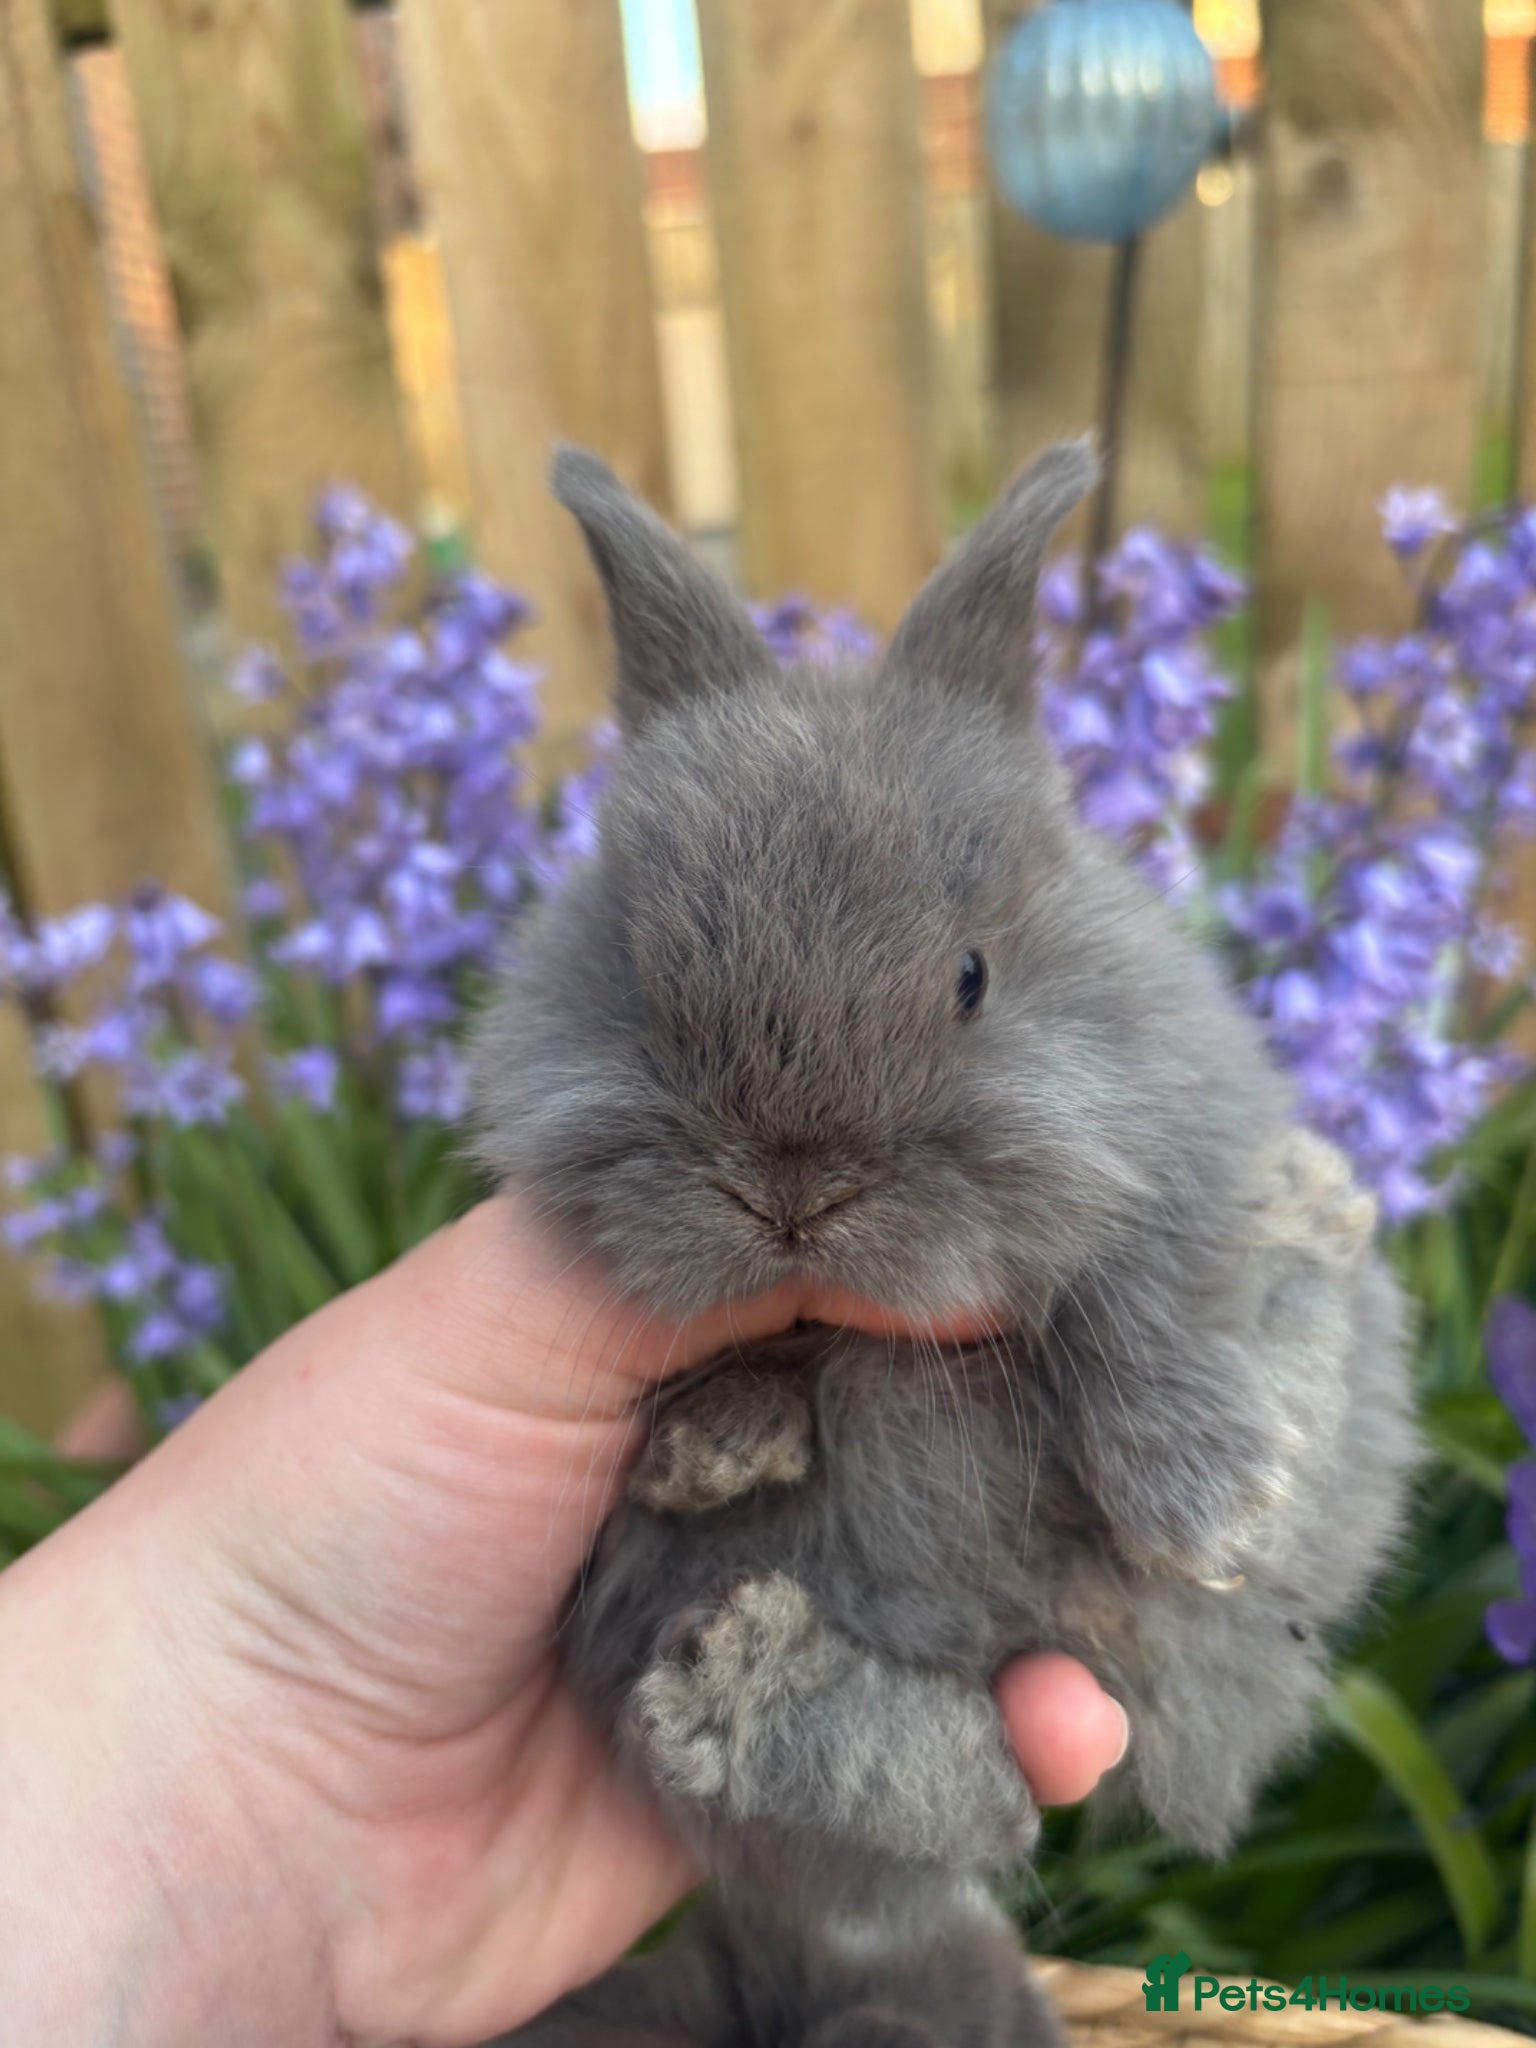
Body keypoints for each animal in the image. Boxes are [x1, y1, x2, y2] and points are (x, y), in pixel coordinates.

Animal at [467, 442, 1418, 2048]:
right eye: (647, 986)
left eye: (972, 977)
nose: (793, 1193)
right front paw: (713, 1439)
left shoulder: (1168, 1151)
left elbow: (1141, 1293)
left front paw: (1208, 1505)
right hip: (668, 1649)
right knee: (957, 1798)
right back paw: (742, 1687)